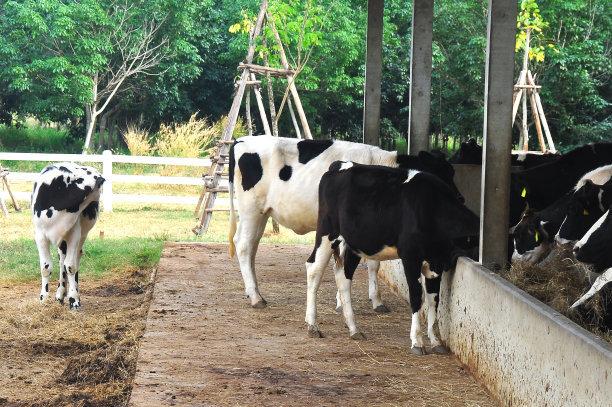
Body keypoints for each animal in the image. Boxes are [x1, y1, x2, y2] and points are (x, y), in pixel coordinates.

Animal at [32, 163, 104, 310]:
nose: (95, 206)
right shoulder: (40, 236)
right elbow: (46, 267)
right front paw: (43, 298)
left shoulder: (74, 234)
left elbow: (71, 266)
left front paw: (74, 299)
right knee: (61, 261)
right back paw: (60, 294)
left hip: (81, 235)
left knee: (74, 259)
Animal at [227, 137, 462, 312]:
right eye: (440, 175)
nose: (460, 198)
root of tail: (241, 140)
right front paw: (344, 301)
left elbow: (372, 264)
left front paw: (375, 300)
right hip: (251, 210)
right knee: (244, 246)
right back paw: (256, 297)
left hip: (261, 214)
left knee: (252, 247)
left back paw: (253, 290)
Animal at [306, 162, 478, 354]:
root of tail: (340, 165)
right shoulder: (410, 256)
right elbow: (416, 296)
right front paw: (417, 341)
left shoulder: (436, 263)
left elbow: (434, 300)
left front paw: (435, 341)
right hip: (327, 232)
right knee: (314, 270)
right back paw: (312, 325)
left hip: (354, 244)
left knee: (343, 276)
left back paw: (354, 329)